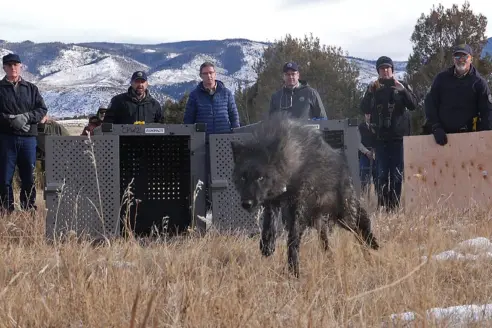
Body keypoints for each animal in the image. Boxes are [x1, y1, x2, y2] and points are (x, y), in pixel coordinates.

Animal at [232, 112, 380, 276]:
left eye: (260, 177)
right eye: (243, 177)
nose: (246, 203)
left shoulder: (297, 207)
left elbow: (293, 238)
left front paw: (294, 270)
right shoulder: (273, 202)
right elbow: (269, 224)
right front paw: (267, 245)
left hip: (345, 217)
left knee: (360, 226)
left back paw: (370, 249)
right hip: (321, 222)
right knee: (326, 243)